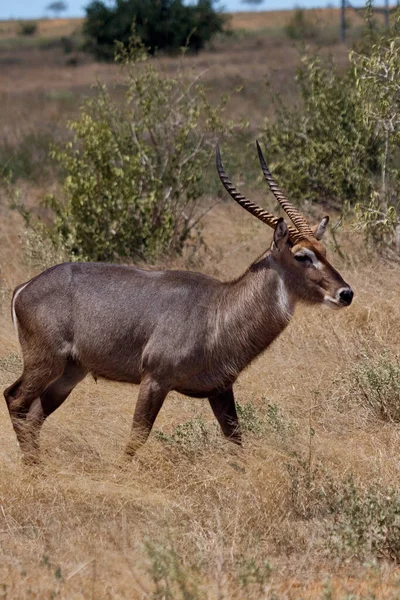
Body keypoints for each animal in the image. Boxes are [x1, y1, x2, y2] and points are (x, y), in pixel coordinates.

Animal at [3, 142, 354, 464]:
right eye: (302, 255)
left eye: (323, 250)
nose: (345, 293)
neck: (219, 310)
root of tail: (25, 287)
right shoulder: (155, 380)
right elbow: (137, 437)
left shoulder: (221, 389)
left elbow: (237, 442)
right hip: (45, 362)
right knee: (15, 399)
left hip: (69, 373)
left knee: (34, 415)